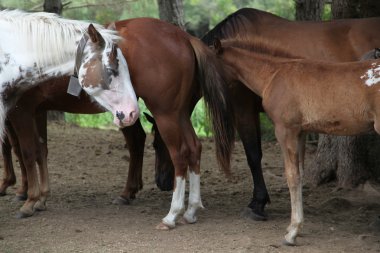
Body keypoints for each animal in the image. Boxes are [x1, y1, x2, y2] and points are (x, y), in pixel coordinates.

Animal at [214, 39, 380, 245]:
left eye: (206, 62)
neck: (273, 74)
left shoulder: (286, 131)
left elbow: (292, 177)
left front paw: (292, 232)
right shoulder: (301, 133)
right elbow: (300, 174)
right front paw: (295, 227)